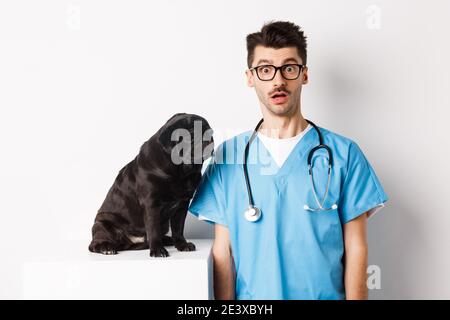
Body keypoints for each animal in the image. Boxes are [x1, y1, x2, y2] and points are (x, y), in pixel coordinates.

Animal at [89, 113, 214, 258]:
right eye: (193, 134)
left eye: (209, 131)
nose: (209, 136)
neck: (179, 171)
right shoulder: (151, 204)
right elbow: (153, 229)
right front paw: (158, 250)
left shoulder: (182, 205)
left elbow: (178, 228)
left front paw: (182, 245)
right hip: (102, 225)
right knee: (94, 244)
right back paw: (106, 247)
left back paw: (168, 240)